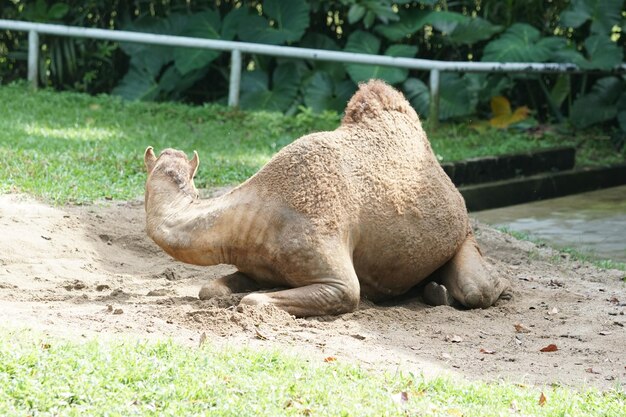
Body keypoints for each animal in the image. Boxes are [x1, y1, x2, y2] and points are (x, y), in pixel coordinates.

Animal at [144, 79, 510, 316]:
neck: (258, 213)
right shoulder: (256, 265)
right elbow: (211, 289)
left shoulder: (336, 276)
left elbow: (254, 301)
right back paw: (434, 291)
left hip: (464, 235)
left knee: (480, 289)